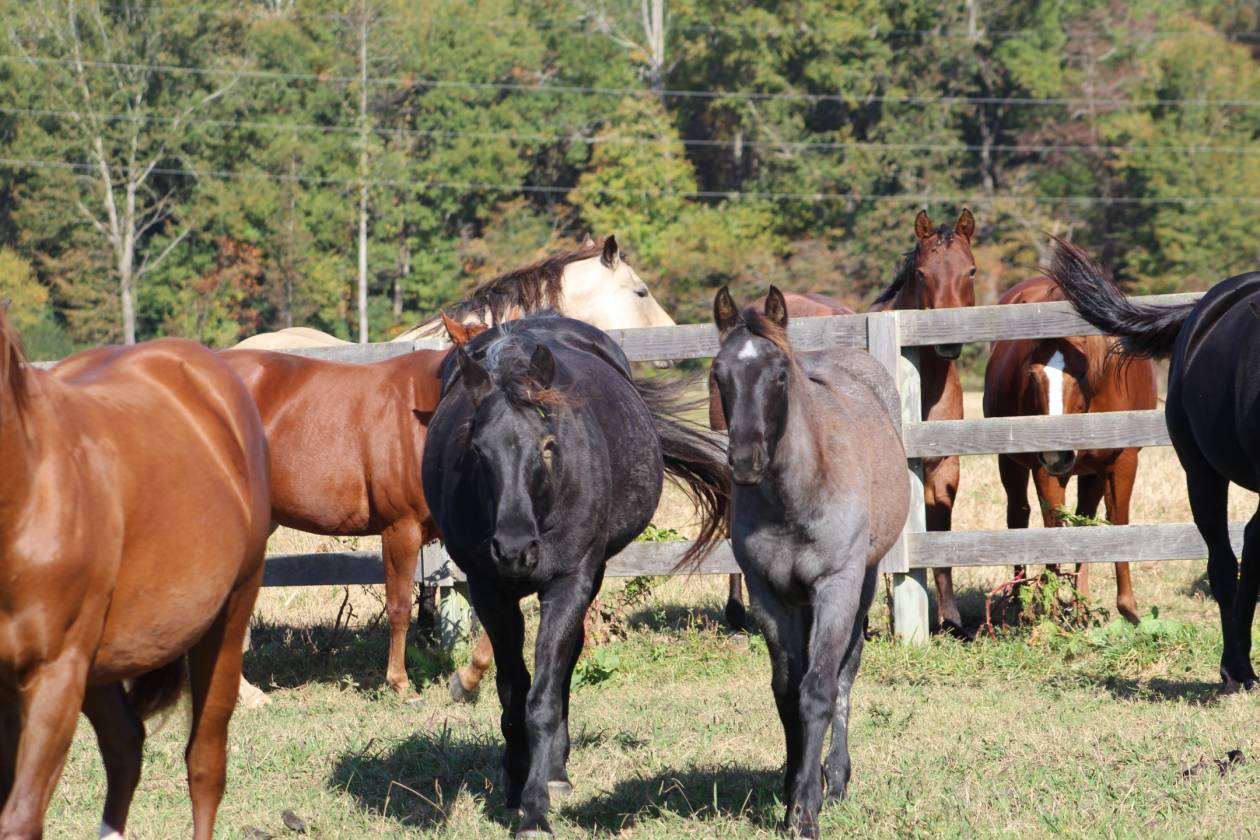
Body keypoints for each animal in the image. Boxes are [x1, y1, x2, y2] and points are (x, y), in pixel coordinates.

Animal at [422, 314, 729, 837]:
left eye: (548, 446)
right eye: (478, 451)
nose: (514, 549)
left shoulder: (570, 582)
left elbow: (543, 697)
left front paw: (536, 808)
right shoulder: (490, 591)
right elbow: (512, 694)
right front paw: (514, 785)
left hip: (593, 572)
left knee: (565, 667)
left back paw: (555, 773)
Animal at [983, 276, 1157, 624]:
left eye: (1081, 372)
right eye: (1032, 375)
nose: (1057, 453)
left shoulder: (1121, 462)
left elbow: (1114, 523)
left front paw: (1126, 610)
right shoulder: (1045, 471)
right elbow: (1054, 529)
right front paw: (1050, 611)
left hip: (1089, 472)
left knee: (1083, 518)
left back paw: (1080, 604)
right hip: (1011, 462)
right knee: (1018, 516)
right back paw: (1019, 602)